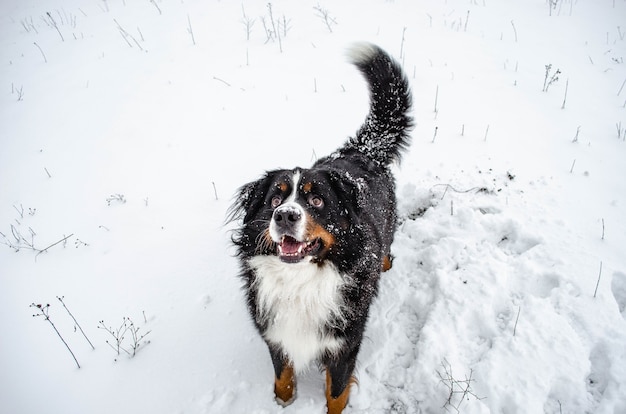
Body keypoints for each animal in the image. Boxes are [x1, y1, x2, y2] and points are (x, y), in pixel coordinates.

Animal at [228, 43, 410, 412]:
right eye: (274, 199)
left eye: (316, 200)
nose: (285, 215)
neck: (300, 282)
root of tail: (361, 150)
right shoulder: (276, 332)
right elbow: (283, 377)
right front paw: (283, 403)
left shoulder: (345, 342)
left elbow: (336, 393)